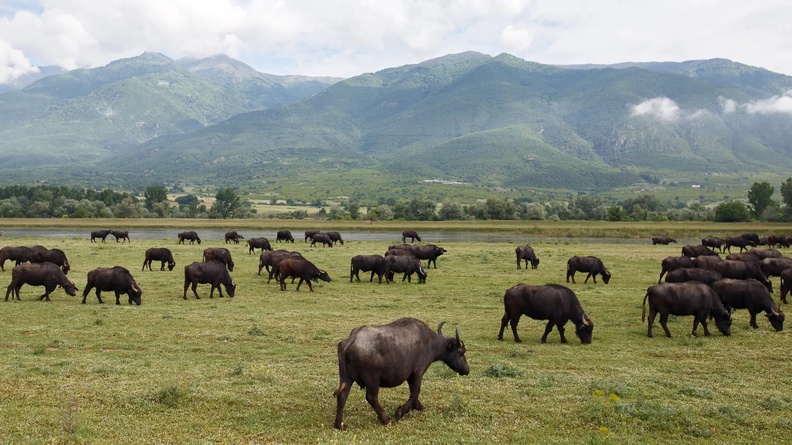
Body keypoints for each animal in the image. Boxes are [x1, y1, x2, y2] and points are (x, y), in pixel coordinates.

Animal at [333, 318, 469, 430]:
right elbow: (415, 392)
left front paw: (418, 406)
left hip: (346, 378)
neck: (429, 342)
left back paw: (339, 425)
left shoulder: (410, 376)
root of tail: (353, 338)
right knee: (371, 397)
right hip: (372, 380)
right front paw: (401, 412)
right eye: (461, 352)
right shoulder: (418, 372)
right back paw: (386, 419)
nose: (467, 370)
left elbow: (413, 392)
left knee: (342, 397)